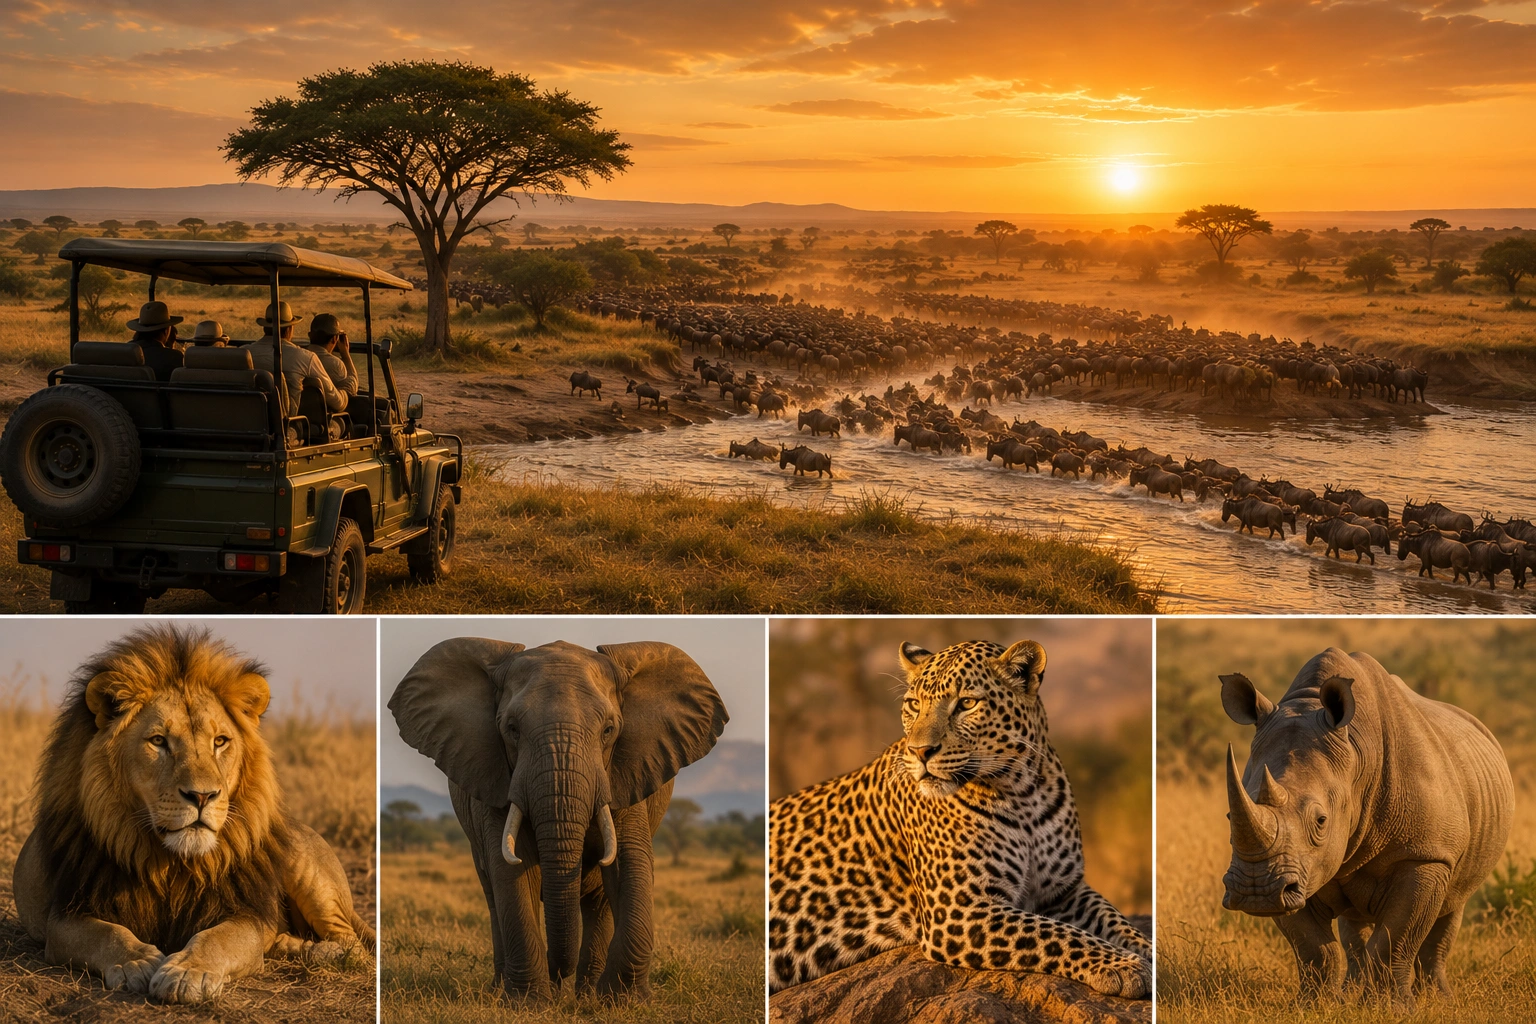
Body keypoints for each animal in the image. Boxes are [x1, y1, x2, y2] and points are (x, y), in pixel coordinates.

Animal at [11, 626, 373, 1004]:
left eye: (220, 741)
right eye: (158, 741)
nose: (202, 796)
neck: (173, 864)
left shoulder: (244, 912)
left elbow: (217, 938)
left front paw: (187, 972)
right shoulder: (66, 915)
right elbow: (107, 933)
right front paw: (138, 962)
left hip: (308, 874)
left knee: (354, 945)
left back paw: (316, 950)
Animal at [388, 638, 728, 1001]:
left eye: (609, 730)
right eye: (511, 729)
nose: (557, 978)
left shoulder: (627, 772)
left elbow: (629, 861)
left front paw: (624, 1001)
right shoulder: (494, 773)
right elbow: (512, 867)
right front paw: (529, 1003)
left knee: (598, 902)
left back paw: (587, 996)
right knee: (493, 892)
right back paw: (502, 990)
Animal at [768, 638, 1151, 996]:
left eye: (967, 703)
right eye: (914, 705)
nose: (920, 751)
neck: (1022, 793)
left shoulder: (1064, 891)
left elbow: (1116, 921)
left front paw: (1149, 954)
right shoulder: (960, 910)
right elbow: (1056, 934)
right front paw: (1123, 966)